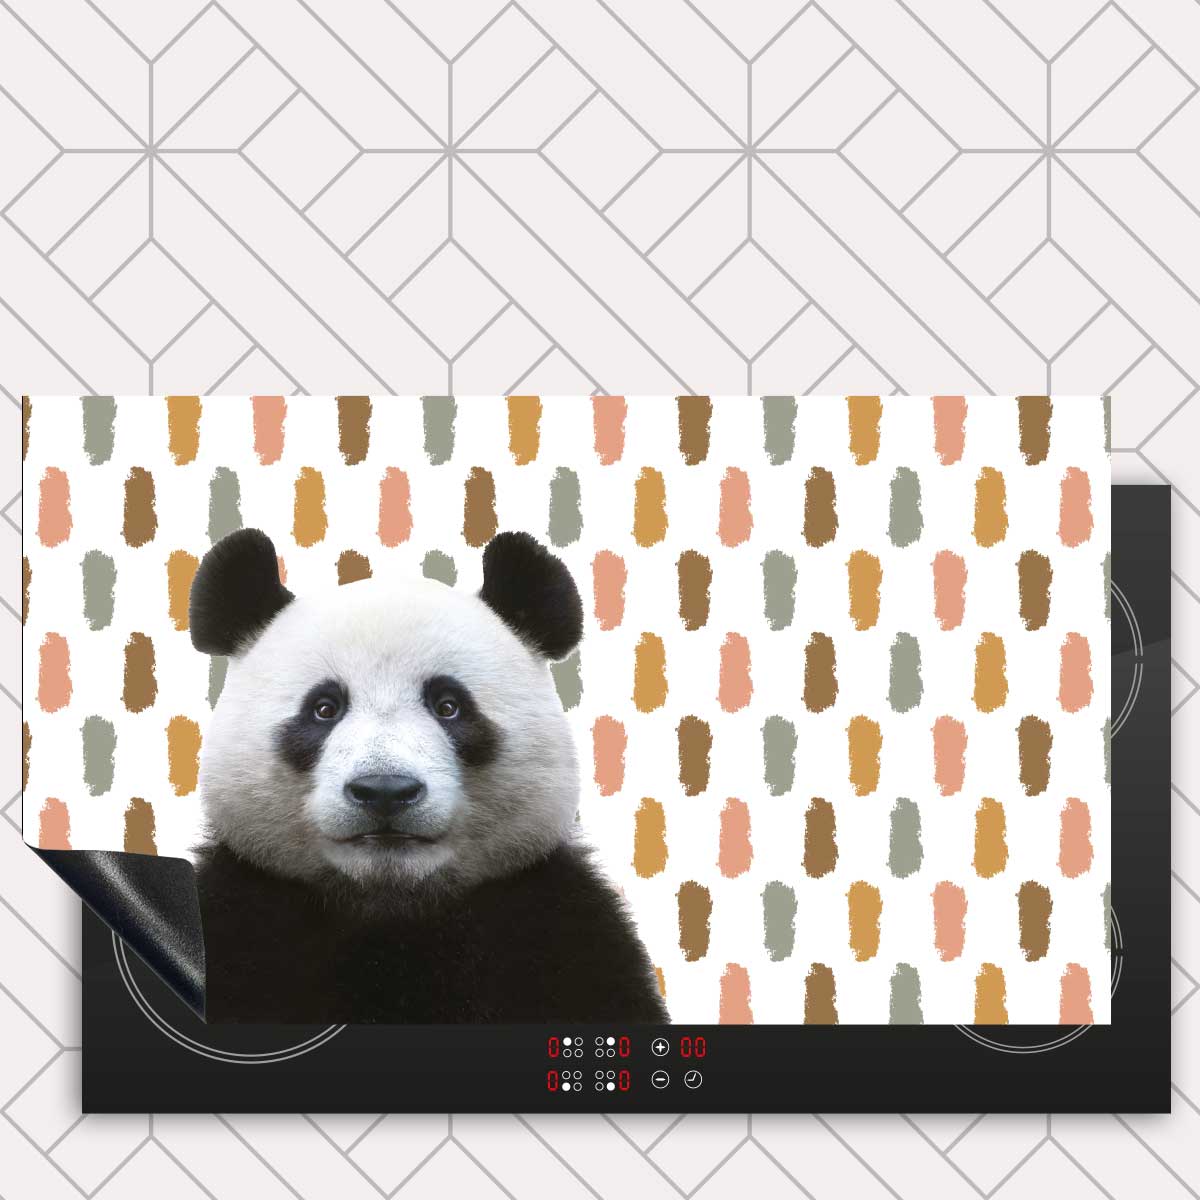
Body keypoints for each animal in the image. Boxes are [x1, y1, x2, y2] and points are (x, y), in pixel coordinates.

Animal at [189, 527, 668, 1025]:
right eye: (324, 708)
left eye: (449, 706)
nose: (384, 791)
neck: (392, 908)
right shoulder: (237, 921)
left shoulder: (561, 930)